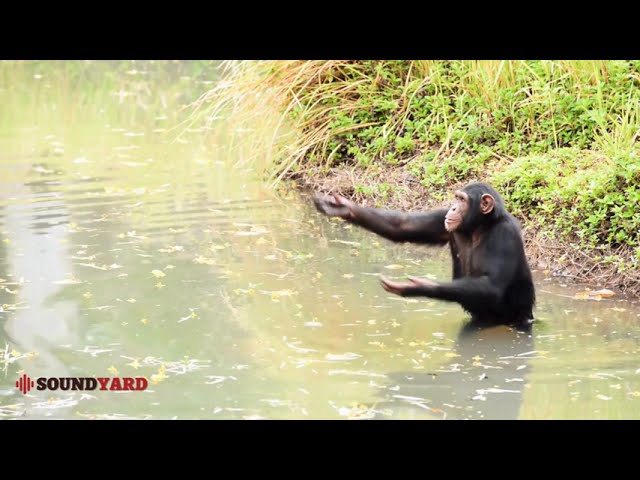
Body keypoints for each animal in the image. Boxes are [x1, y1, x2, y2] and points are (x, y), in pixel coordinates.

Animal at [314, 182, 536, 324]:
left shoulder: (505, 235)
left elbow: (492, 286)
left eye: (463, 200)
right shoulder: (442, 219)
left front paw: (419, 286)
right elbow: (402, 226)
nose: (453, 208)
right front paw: (342, 207)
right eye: (456, 198)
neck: (479, 227)